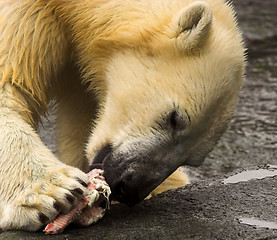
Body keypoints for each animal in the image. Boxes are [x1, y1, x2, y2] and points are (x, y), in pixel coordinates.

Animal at [0, 0, 246, 232]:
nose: (130, 188)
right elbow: (9, 85)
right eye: (175, 118)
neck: (72, 7)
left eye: (192, 159)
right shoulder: (33, 14)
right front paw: (52, 193)